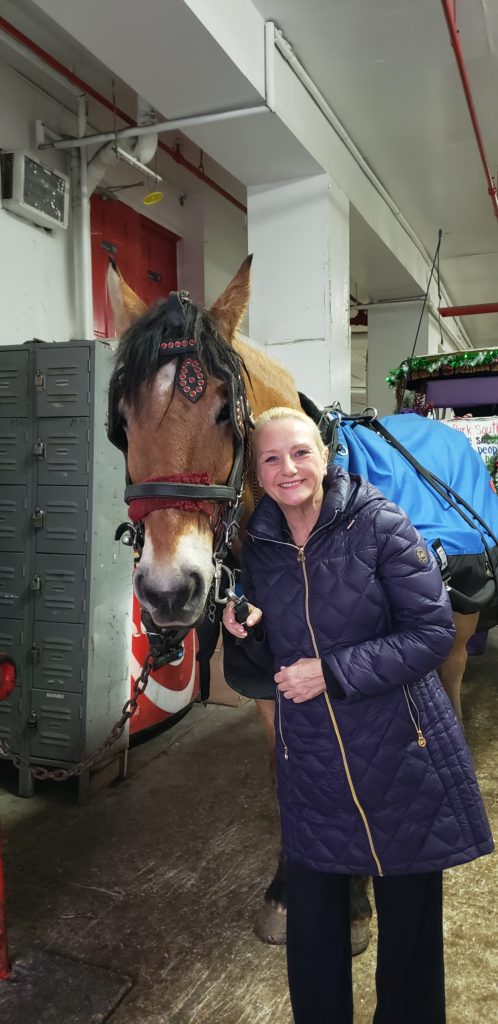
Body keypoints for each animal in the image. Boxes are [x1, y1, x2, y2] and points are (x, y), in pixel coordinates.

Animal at [106, 253, 498, 950]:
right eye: (121, 424)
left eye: (221, 412)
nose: (167, 589)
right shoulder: (271, 681)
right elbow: (283, 770)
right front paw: (292, 883)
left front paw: (357, 899)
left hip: (458, 620)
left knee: (447, 682)